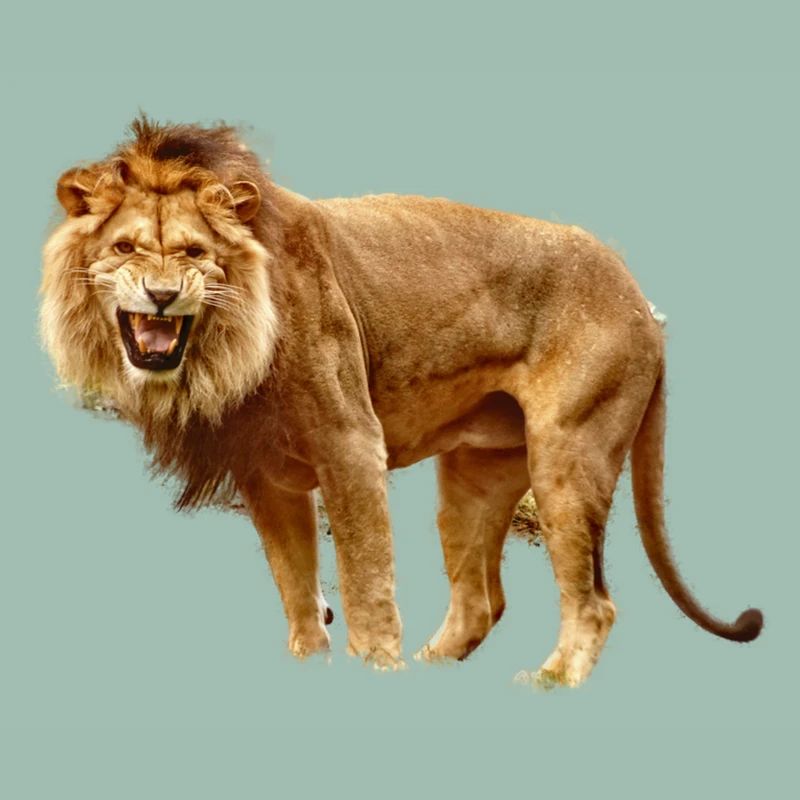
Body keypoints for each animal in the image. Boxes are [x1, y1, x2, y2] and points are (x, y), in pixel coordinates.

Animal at [40, 117, 762, 686]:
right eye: (125, 248)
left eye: (195, 253)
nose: (162, 296)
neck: (223, 352)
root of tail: (644, 304)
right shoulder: (266, 476)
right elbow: (296, 586)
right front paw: (312, 665)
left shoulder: (350, 444)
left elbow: (365, 582)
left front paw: (375, 668)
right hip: (474, 477)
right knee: (480, 603)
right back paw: (432, 671)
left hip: (569, 454)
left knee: (592, 603)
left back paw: (548, 681)